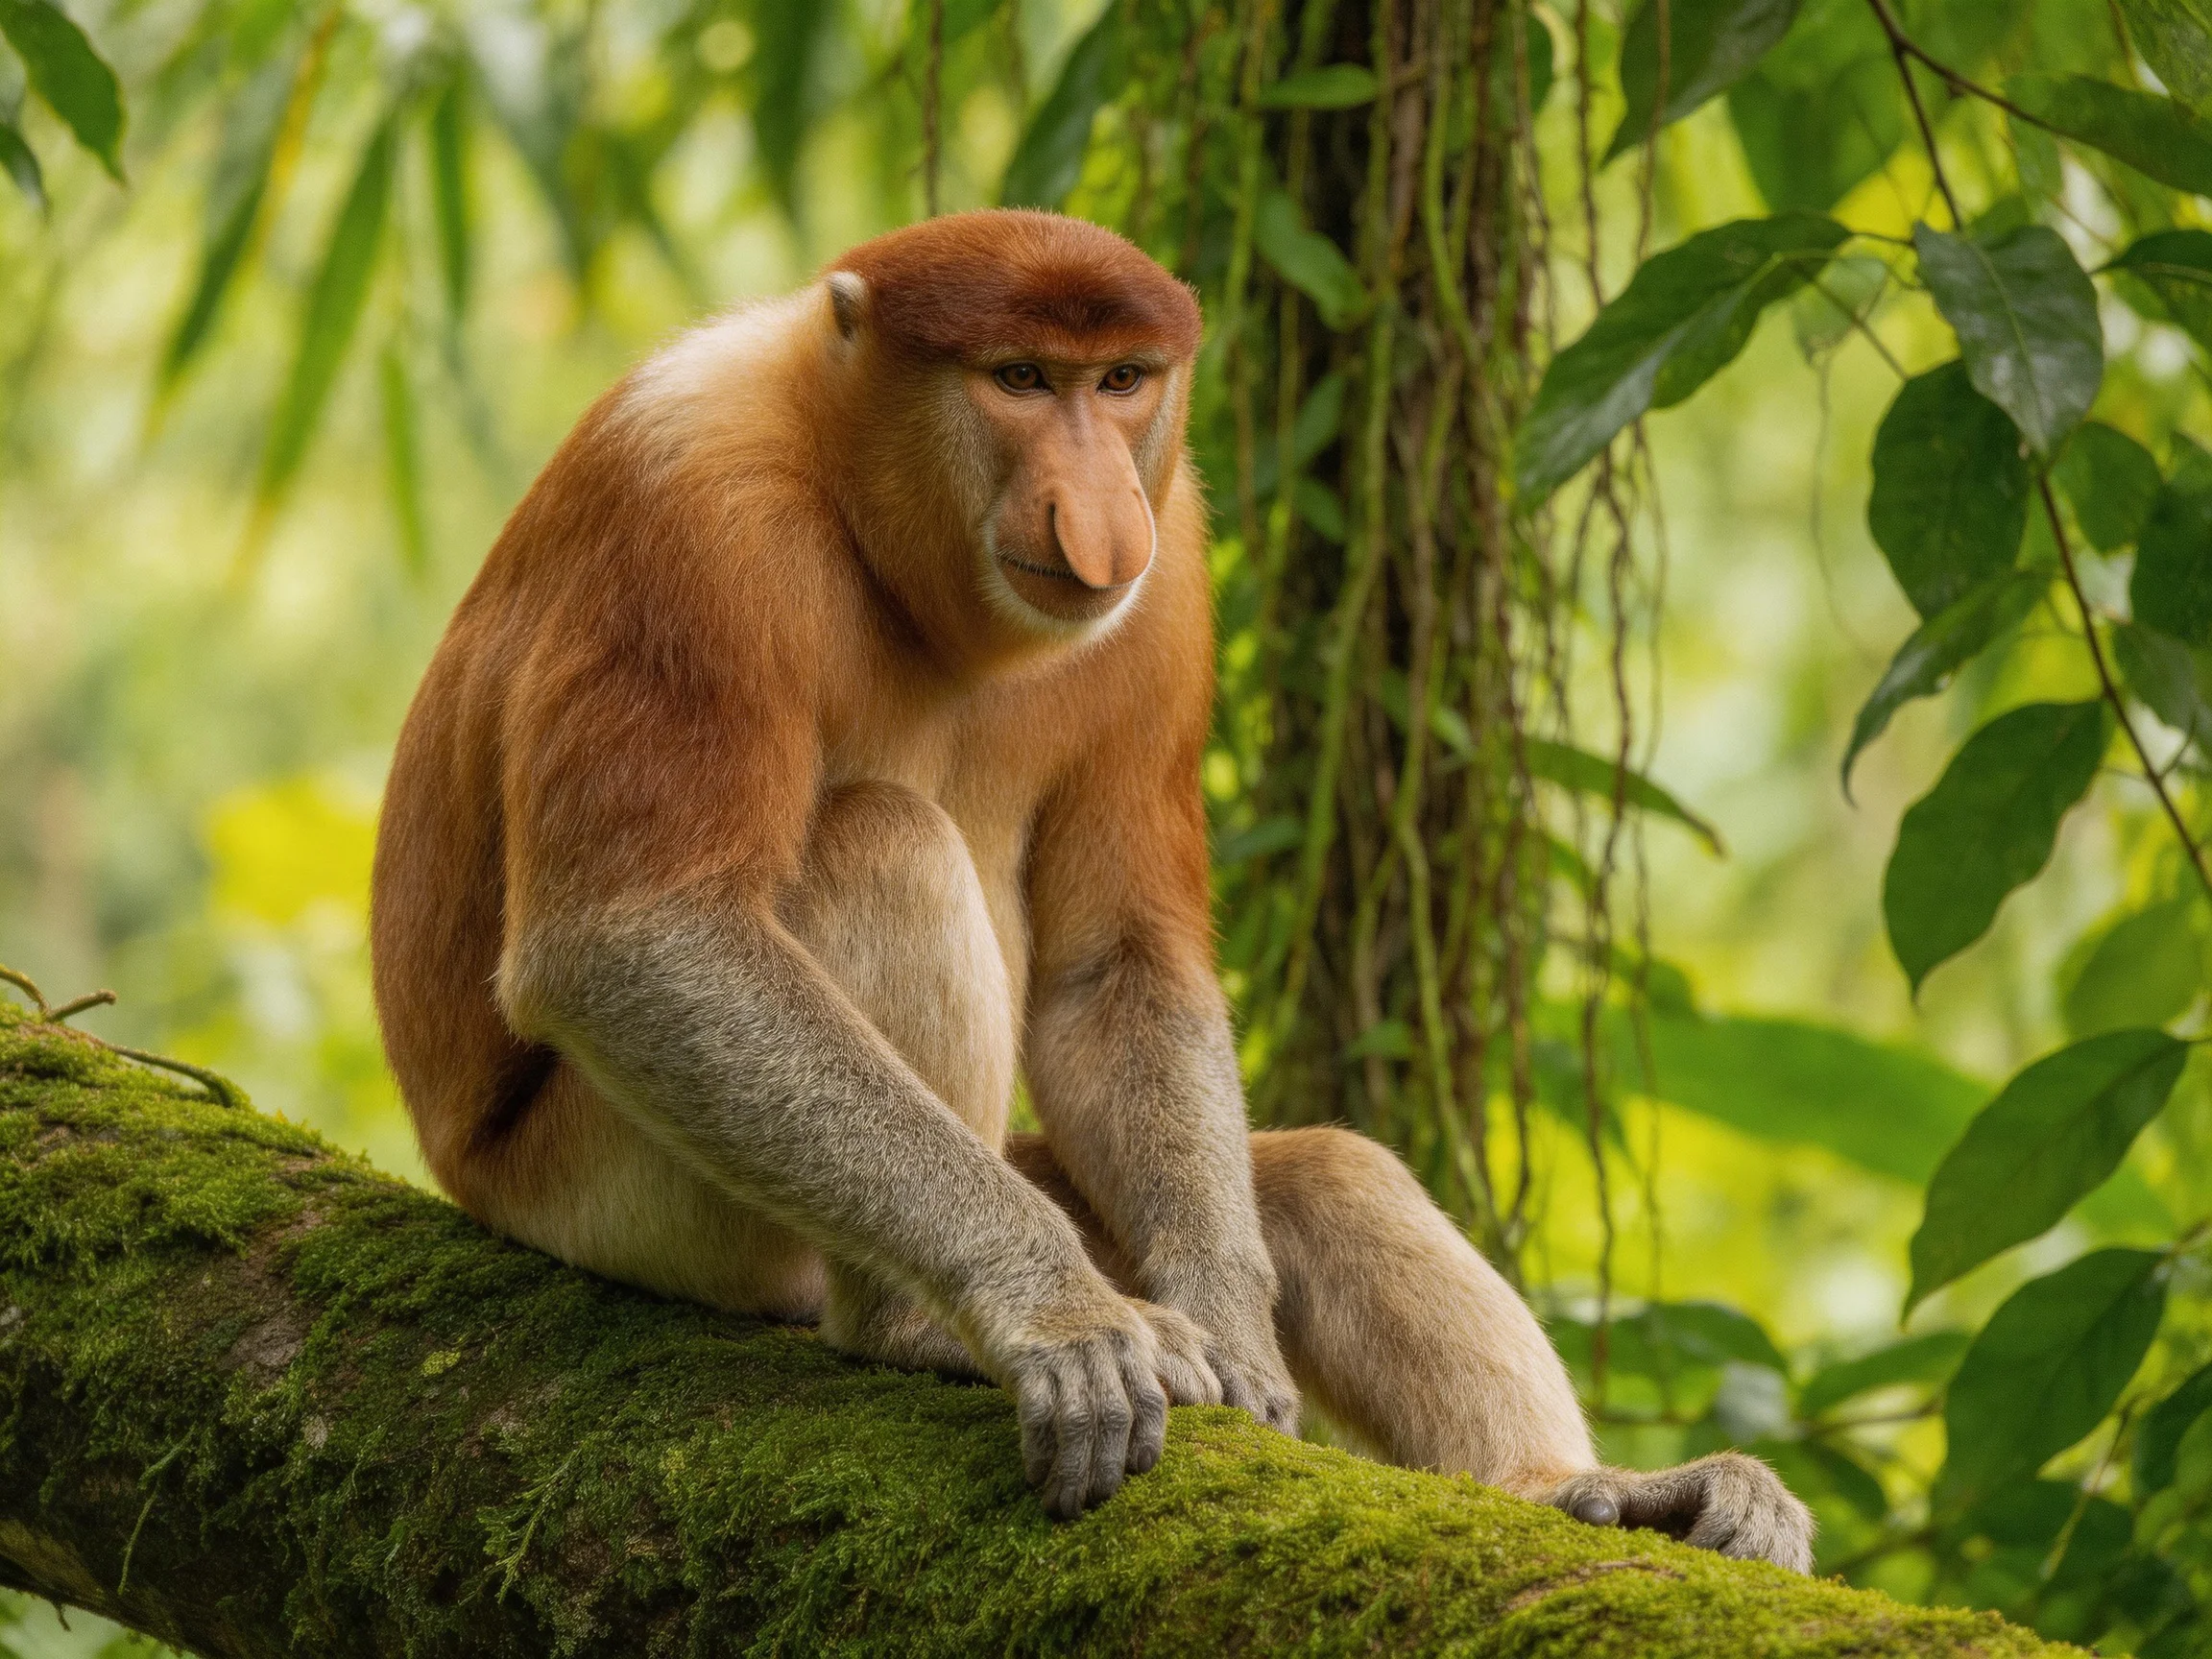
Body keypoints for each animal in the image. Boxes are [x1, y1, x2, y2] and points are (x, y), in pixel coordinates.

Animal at [369, 208, 1813, 1569]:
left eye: (1121, 379)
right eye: (1018, 377)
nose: (1097, 499)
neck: (858, 502)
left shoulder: (1169, 568)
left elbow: (1115, 962)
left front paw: (1237, 1338)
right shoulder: (683, 514)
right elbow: (634, 935)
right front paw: (1047, 1310)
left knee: (1324, 1172)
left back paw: (1575, 1489)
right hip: (620, 1200)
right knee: (880, 843)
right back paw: (911, 1327)